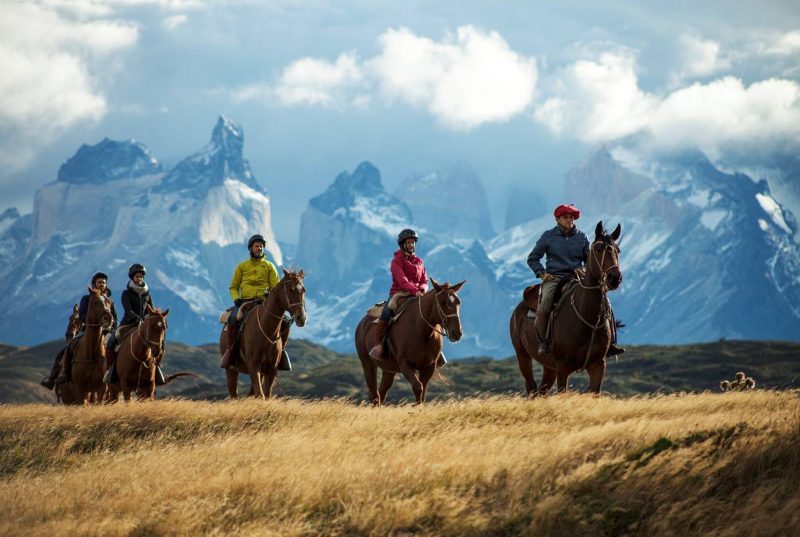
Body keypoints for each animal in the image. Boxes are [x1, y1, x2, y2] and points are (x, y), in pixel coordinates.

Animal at [219, 268, 306, 398]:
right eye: (291, 289)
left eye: (304, 290)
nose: (302, 318)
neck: (267, 330)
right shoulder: (253, 366)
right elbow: (261, 395)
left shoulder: (271, 369)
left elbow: (266, 395)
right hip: (231, 370)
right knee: (234, 393)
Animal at [510, 220, 620, 396]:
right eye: (598, 249)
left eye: (618, 250)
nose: (614, 278)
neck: (586, 316)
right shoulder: (563, 366)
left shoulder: (598, 365)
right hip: (523, 355)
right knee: (532, 387)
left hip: (549, 366)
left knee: (542, 390)